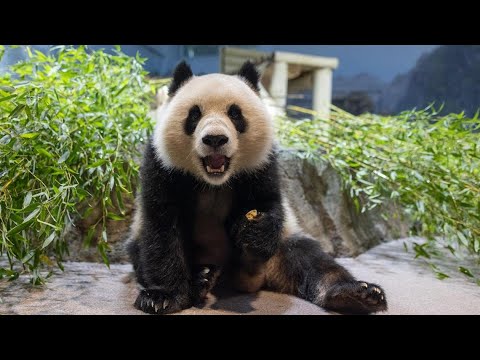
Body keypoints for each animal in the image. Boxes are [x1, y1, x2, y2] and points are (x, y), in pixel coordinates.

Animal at [126, 61, 386, 316]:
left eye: (235, 113)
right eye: (194, 114)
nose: (215, 139)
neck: (213, 181)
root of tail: (253, 279)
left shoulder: (263, 165)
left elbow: (269, 202)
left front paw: (254, 229)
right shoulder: (162, 166)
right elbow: (162, 228)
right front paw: (162, 297)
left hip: (280, 250)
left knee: (311, 259)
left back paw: (356, 295)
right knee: (140, 251)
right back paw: (201, 279)